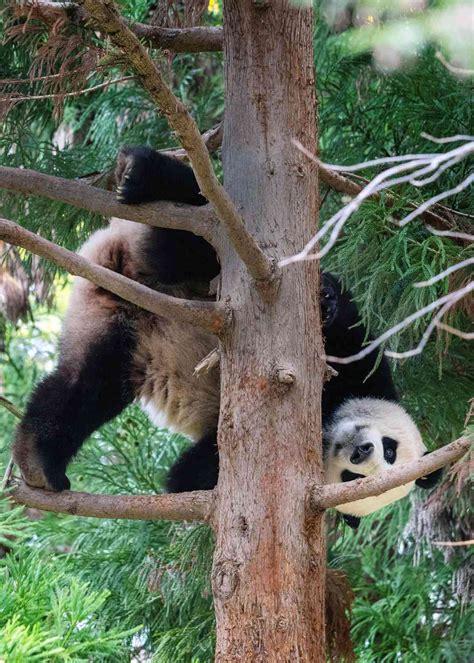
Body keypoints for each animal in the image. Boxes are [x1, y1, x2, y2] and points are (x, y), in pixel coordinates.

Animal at [11, 147, 440, 528]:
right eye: (389, 448)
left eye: (357, 479)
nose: (359, 451)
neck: (329, 414)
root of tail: (115, 262)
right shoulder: (366, 367)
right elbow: (348, 326)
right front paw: (325, 299)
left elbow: (188, 476)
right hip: (202, 265)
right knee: (206, 227)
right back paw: (143, 173)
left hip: (114, 323)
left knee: (88, 384)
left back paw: (38, 459)